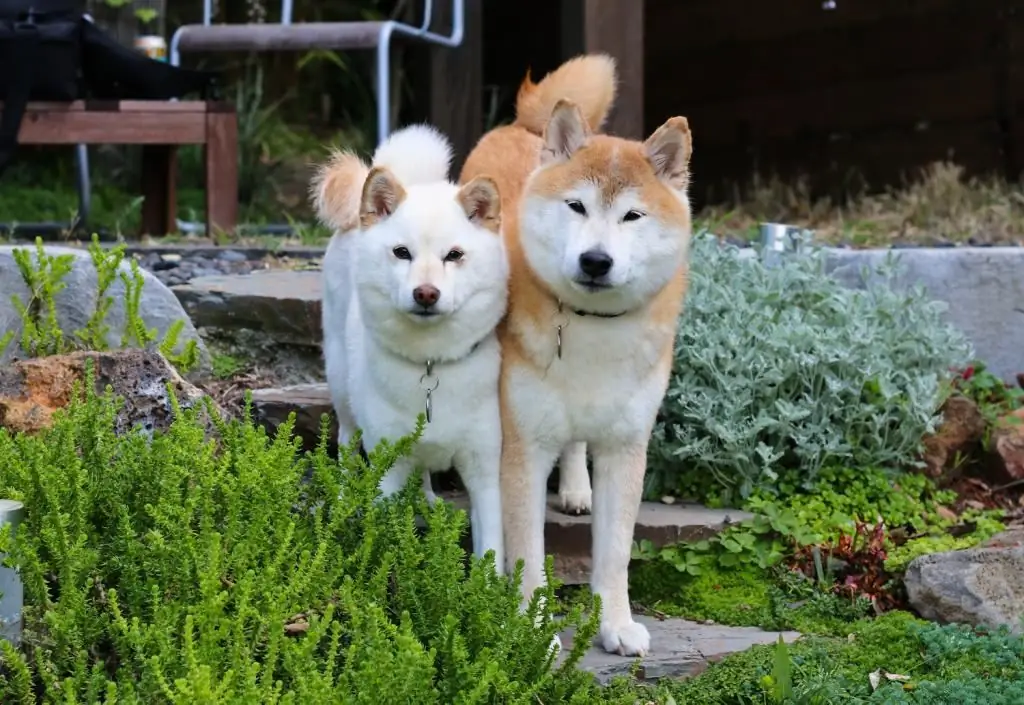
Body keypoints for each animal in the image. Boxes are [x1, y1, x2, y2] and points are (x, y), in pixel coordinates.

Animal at [309, 126, 505, 565]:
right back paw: (344, 501)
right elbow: (384, 541)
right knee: (346, 448)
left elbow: (492, 549)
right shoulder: (389, 464)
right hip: (342, 390)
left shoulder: (484, 467)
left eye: (454, 255)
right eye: (402, 253)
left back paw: (428, 498)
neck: (430, 361)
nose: (426, 293)